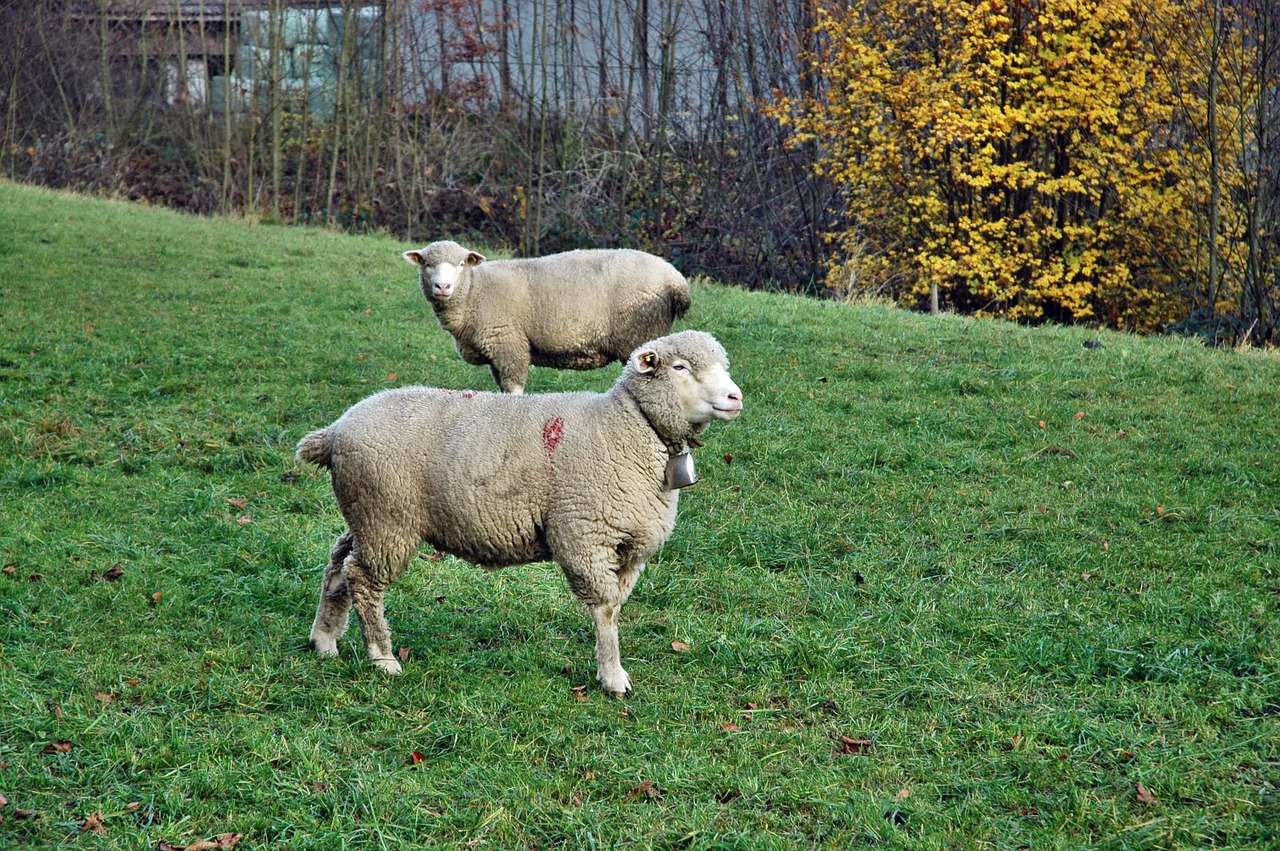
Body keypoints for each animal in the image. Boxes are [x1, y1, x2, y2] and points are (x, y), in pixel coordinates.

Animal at [295, 327, 747, 696]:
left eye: (723, 366)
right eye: (680, 367)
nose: (735, 397)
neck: (629, 428)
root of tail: (335, 431)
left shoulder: (632, 547)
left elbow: (617, 605)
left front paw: (611, 668)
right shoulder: (584, 535)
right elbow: (605, 609)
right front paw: (613, 676)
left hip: (366, 515)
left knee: (339, 563)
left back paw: (325, 641)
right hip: (387, 517)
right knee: (363, 579)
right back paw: (382, 658)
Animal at [404, 240, 696, 394]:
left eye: (462, 264)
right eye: (426, 264)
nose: (443, 287)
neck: (475, 292)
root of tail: (676, 280)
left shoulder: (509, 345)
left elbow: (514, 389)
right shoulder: (497, 354)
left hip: (641, 333)